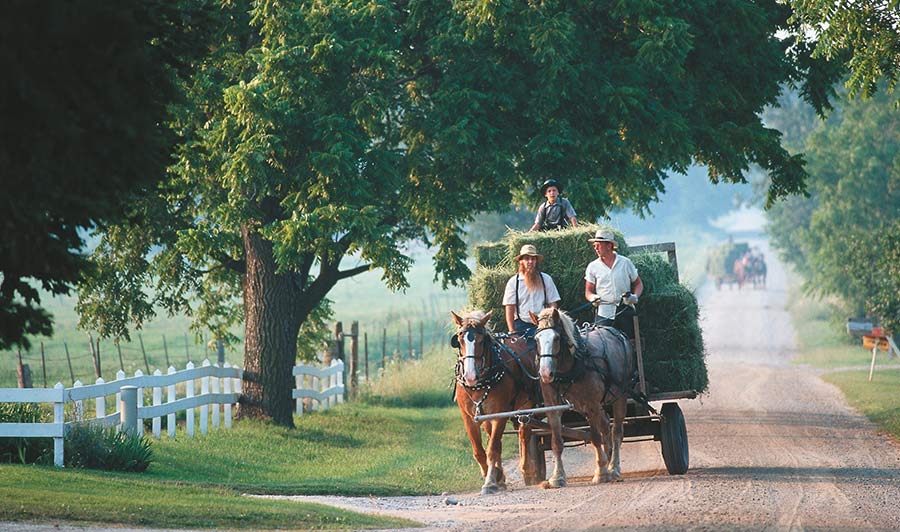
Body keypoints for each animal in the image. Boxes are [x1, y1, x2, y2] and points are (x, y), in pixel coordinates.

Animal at [454, 310, 536, 492]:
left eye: (481, 340)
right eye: (460, 339)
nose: (470, 376)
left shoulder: (500, 414)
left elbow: (493, 448)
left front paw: (491, 481)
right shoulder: (468, 417)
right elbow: (479, 450)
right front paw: (494, 476)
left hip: (527, 405)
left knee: (524, 434)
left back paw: (526, 469)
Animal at [528, 308, 632, 486]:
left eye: (556, 338)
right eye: (536, 339)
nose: (546, 373)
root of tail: (617, 333)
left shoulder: (591, 405)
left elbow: (595, 438)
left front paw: (601, 471)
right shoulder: (553, 407)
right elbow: (556, 442)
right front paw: (557, 477)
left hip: (620, 396)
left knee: (616, 432)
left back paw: (613, 468)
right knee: (606, 427)